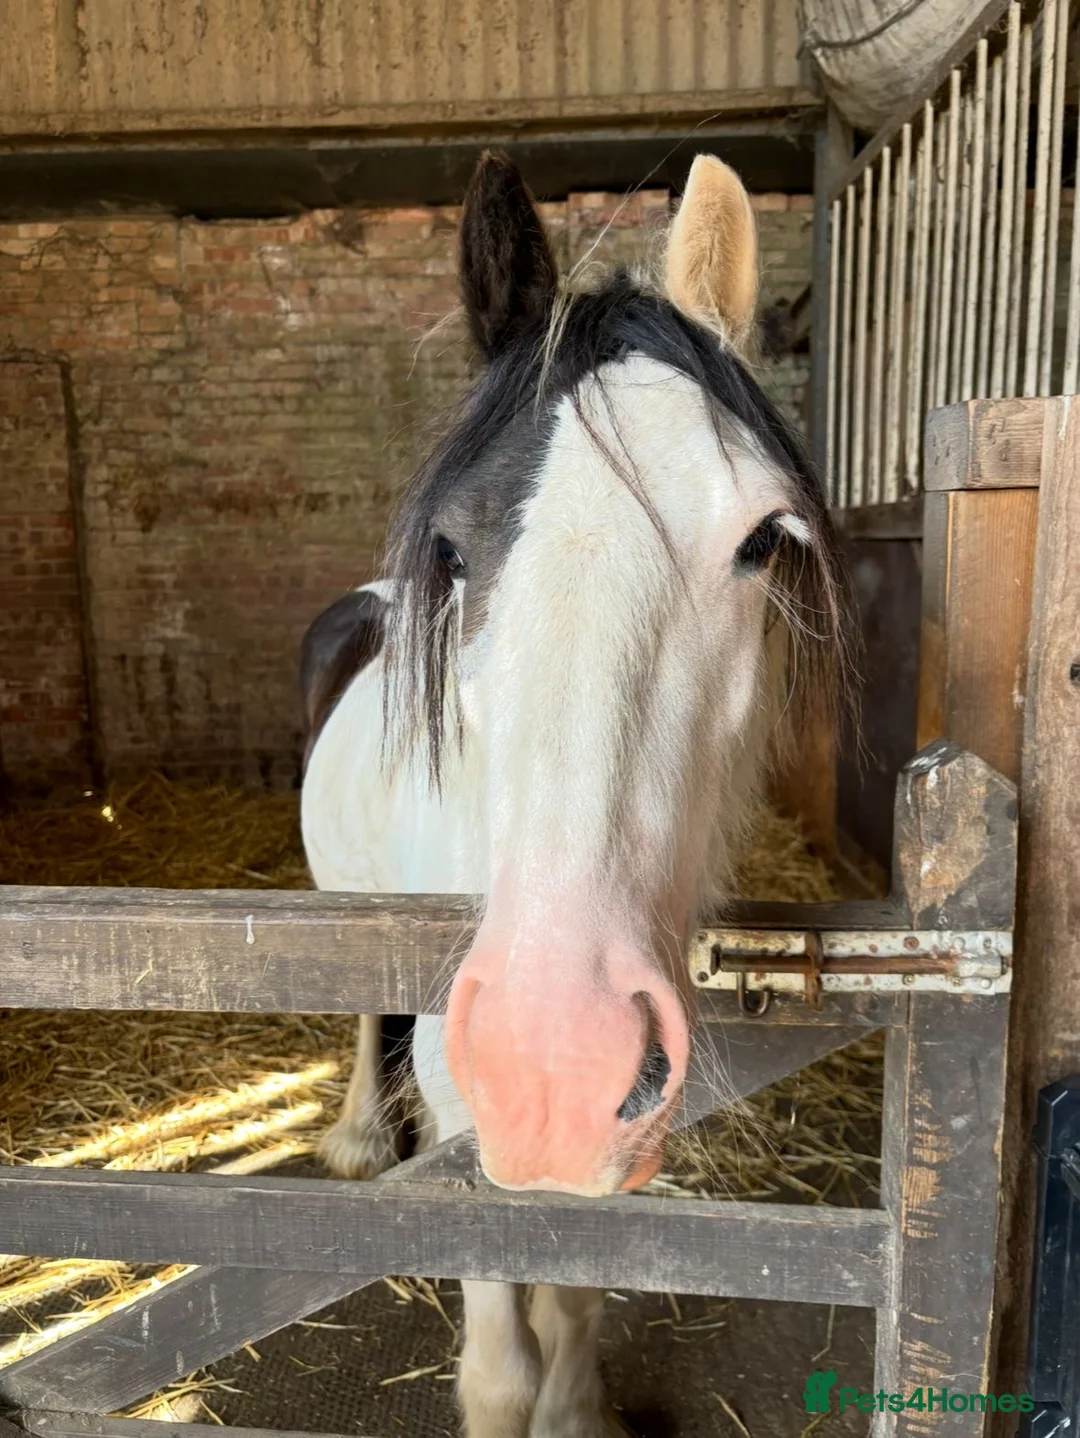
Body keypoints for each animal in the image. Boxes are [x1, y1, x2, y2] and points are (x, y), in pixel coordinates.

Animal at [300, 150, 850, 1438]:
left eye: (763, 538)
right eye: (451, 550)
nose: (555, 1058)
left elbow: (582, 1289)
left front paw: (580, 1405)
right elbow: (499, 1360)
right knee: (361, 1017)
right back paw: (357, 1134)